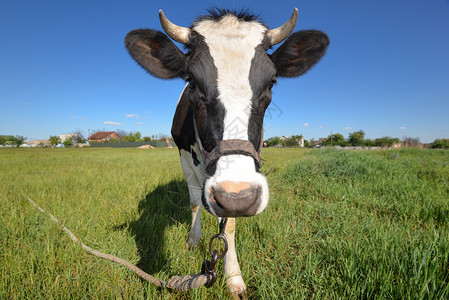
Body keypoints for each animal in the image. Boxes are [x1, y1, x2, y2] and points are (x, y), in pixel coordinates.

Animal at [124, 7, 328, 296]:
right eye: (192, 82)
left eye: (271, 83)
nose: (236, 196)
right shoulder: (185, 158)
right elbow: (195, 202)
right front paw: (193, 239)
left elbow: (229, 224)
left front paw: (233, 277)